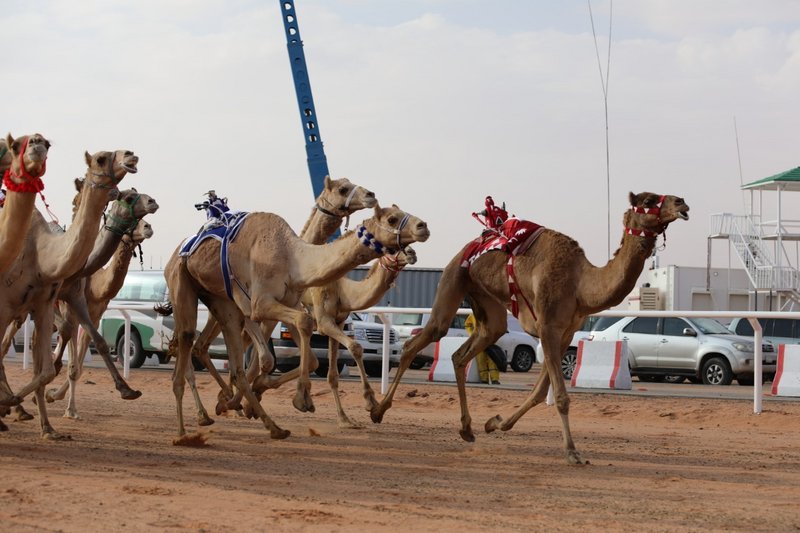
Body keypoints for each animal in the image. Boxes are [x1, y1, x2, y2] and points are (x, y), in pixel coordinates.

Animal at [162, 202, 432, 442]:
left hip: (221, 301)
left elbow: (315, 354)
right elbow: (310, 332)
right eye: (392, 219)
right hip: (184, 281)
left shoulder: (298, 305)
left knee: (231, 359)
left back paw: (255, 417)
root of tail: (177, 252)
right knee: (189, 340)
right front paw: (306, 398)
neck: (292, 257)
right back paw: (188, 428)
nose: (423, 226)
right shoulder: (263, 304)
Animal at [368, 192, 688, 466]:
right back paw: (378, 410)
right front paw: (572, 452)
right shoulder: (548, 326)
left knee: (463, 353)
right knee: (419, 341)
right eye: (648, 200)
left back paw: (467, 429)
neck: (580, 284)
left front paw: (495, 423)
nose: (682, 203)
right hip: (453, 278)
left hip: (488, 307)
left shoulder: (565, 332)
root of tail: (469, 246)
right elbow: (560, 396)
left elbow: (540, 391)